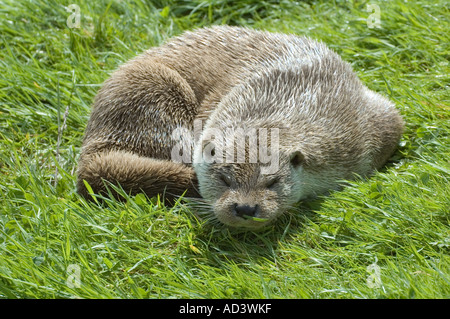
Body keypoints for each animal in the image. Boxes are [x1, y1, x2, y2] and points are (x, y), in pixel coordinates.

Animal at [77, 26, 404, 229]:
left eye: (272, 182)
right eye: (223, 180)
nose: (246, 208)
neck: (303, 95)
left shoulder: (375, 120)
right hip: (151, 90)